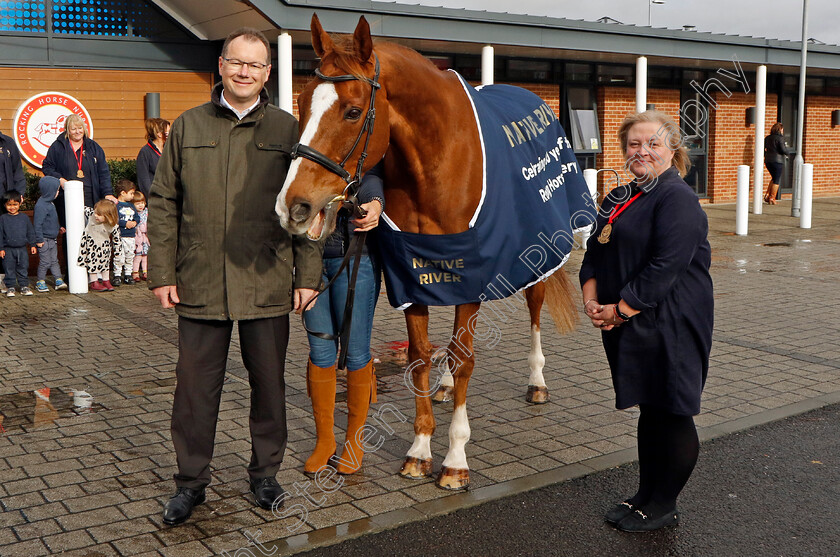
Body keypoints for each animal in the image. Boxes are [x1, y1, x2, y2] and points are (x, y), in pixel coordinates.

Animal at [278, 15, 580, 488]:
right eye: (303, 102)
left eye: (352, 111)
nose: (294, 206)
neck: (437, 163)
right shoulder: (413, 277)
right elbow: (420, 356)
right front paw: (419, 449)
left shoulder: (473, 275)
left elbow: (466, 359)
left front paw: (455, 459)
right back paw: (444, 388)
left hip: (539, 256)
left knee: (533, 307)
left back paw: (536, 381)